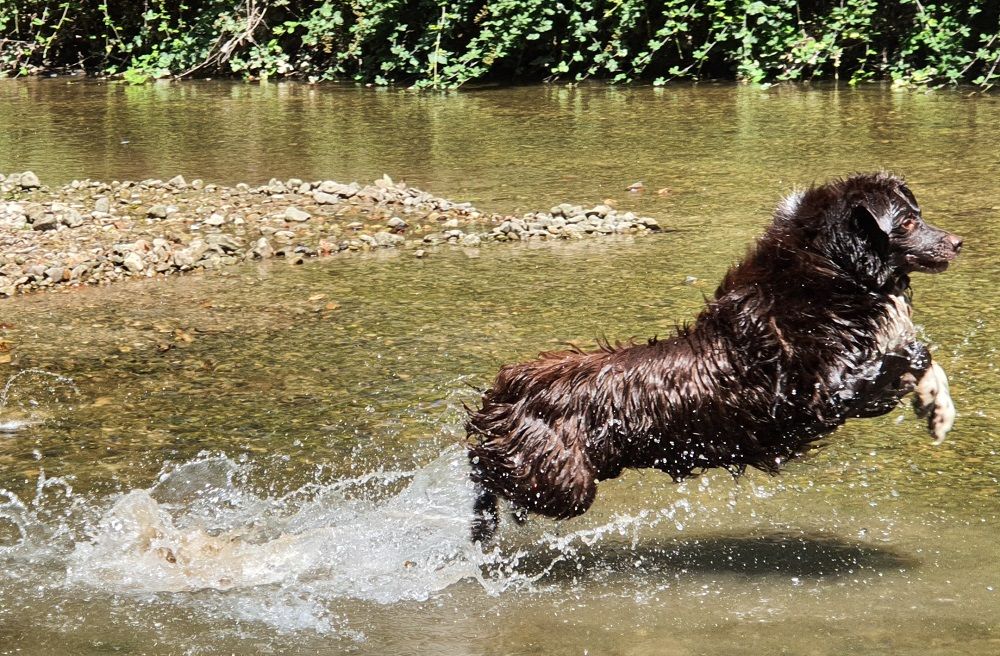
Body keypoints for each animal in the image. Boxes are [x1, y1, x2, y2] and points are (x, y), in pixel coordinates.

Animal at [466, 170, 960, 544]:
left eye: (919, 216)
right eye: (908, 222)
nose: (957, 242)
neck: (827, 273)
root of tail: (504, 386)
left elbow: (916, 361)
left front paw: (936, 408)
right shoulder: (823, 393)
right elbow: (906, 355)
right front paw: (927, 391)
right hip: (563, 482)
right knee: (484, 471)